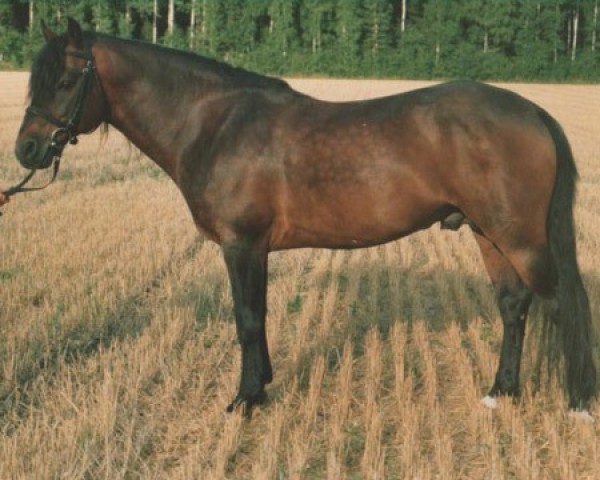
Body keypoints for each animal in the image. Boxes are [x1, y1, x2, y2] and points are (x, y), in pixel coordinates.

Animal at [12, 18, 596, 414]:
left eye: (65, 81)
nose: (27, 150)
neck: (214, 123)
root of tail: (532, 111)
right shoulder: (253, 248)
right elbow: (258, 316)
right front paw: (261, 387)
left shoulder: (242, 244)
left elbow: (248, 319)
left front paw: (245, 400)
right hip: (488, 233)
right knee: (514, 304)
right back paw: (501, 391)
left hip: (520, 237)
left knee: (558, 305)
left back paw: (575, 402)